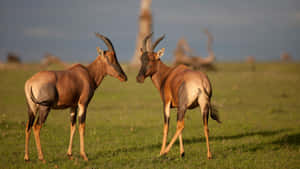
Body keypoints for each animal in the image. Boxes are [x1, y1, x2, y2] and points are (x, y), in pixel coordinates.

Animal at [23, 33, 126, 162]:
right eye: (111, 58)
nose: (124, 77)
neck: (87, 73)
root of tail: (30, 83)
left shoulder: (73, 106)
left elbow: (72, 126)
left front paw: (70, 154)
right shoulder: (83, 104)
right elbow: (82, 126)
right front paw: (84, 155)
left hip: (31, 108)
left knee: (28, 126)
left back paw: (26, 157)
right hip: (44, 108)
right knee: (36, 127)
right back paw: (42, 158)